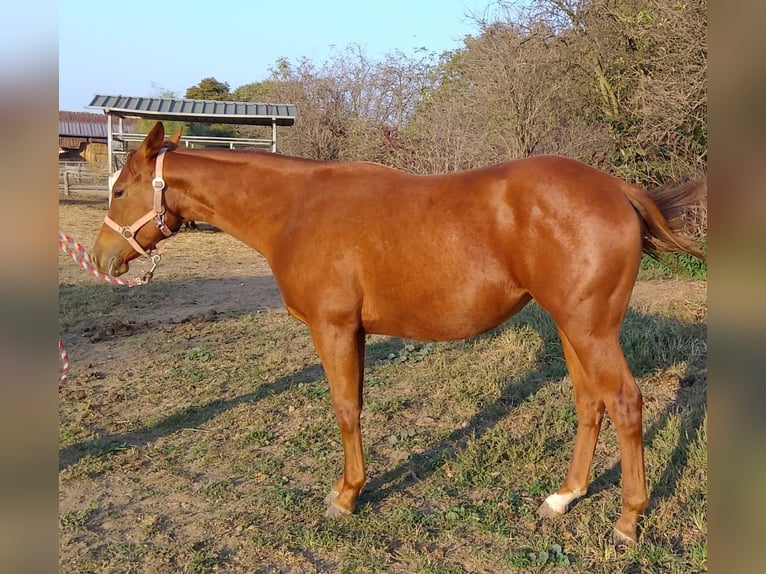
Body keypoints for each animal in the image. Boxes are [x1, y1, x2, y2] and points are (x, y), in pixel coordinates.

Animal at [92, 121, 704, 544]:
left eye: (119, 191)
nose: (101, 259)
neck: (295, 209)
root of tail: (617, 189)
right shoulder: (356, 332)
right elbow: (355, 405)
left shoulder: (334, 329)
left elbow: (345, 409)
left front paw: (345, 496)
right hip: (570, 327)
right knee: (588, 402)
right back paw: (564, 496)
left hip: (590, 329)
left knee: (624, 403)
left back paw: (627, 520)